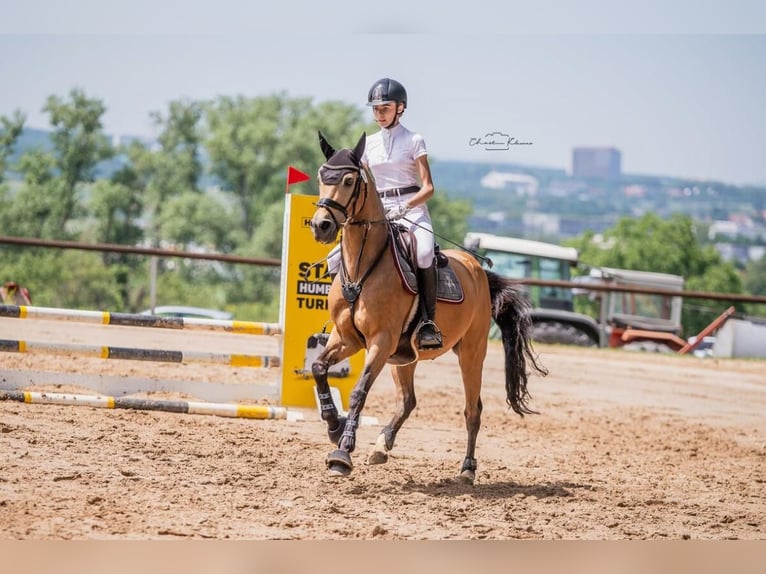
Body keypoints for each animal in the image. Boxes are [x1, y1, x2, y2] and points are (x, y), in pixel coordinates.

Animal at [306, 132, 544, 486]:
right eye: (322, 176)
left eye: (348, 180)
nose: (321, 226)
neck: (363, 268)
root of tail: (477, 270)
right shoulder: (346, 338)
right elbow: (319, 368)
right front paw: (334, 426)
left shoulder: (380, 341)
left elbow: (360, 391)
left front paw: (342, 452)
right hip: (403, 357)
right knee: (408, 400)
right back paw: (382, 446)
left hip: (471, 353)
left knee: (472, 410)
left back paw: (467, 468)